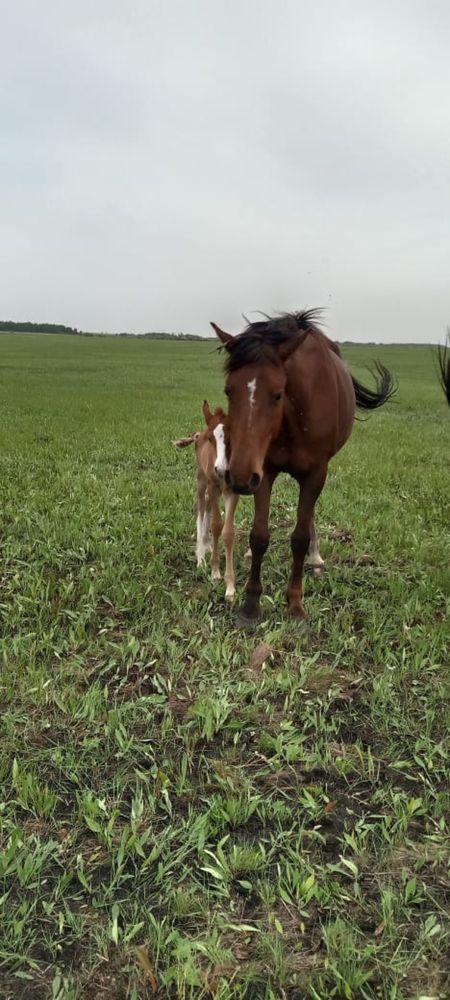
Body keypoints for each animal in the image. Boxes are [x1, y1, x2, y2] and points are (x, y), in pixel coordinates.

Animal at [174, 400, 241, 600]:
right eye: (211, 439)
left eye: (231, 437)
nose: (221, 469)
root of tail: (198, 433)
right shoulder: (212, 485)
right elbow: (216, 525)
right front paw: (214, 571)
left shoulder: (231, 491)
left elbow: (227, 532)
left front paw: (230, 587)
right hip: (202, 479)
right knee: (200, 506)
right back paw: (201, 556)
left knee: (208, 508)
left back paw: (206, 545)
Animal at [210, 312, 394, 620]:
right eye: (228, 391)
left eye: (277, 394)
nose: (239, 477)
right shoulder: (264, 472)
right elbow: (259, 536)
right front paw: (251, 605)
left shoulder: (315, 474)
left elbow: (299, 537)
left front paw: (295, 604)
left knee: (309, 518)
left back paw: (315, 557)